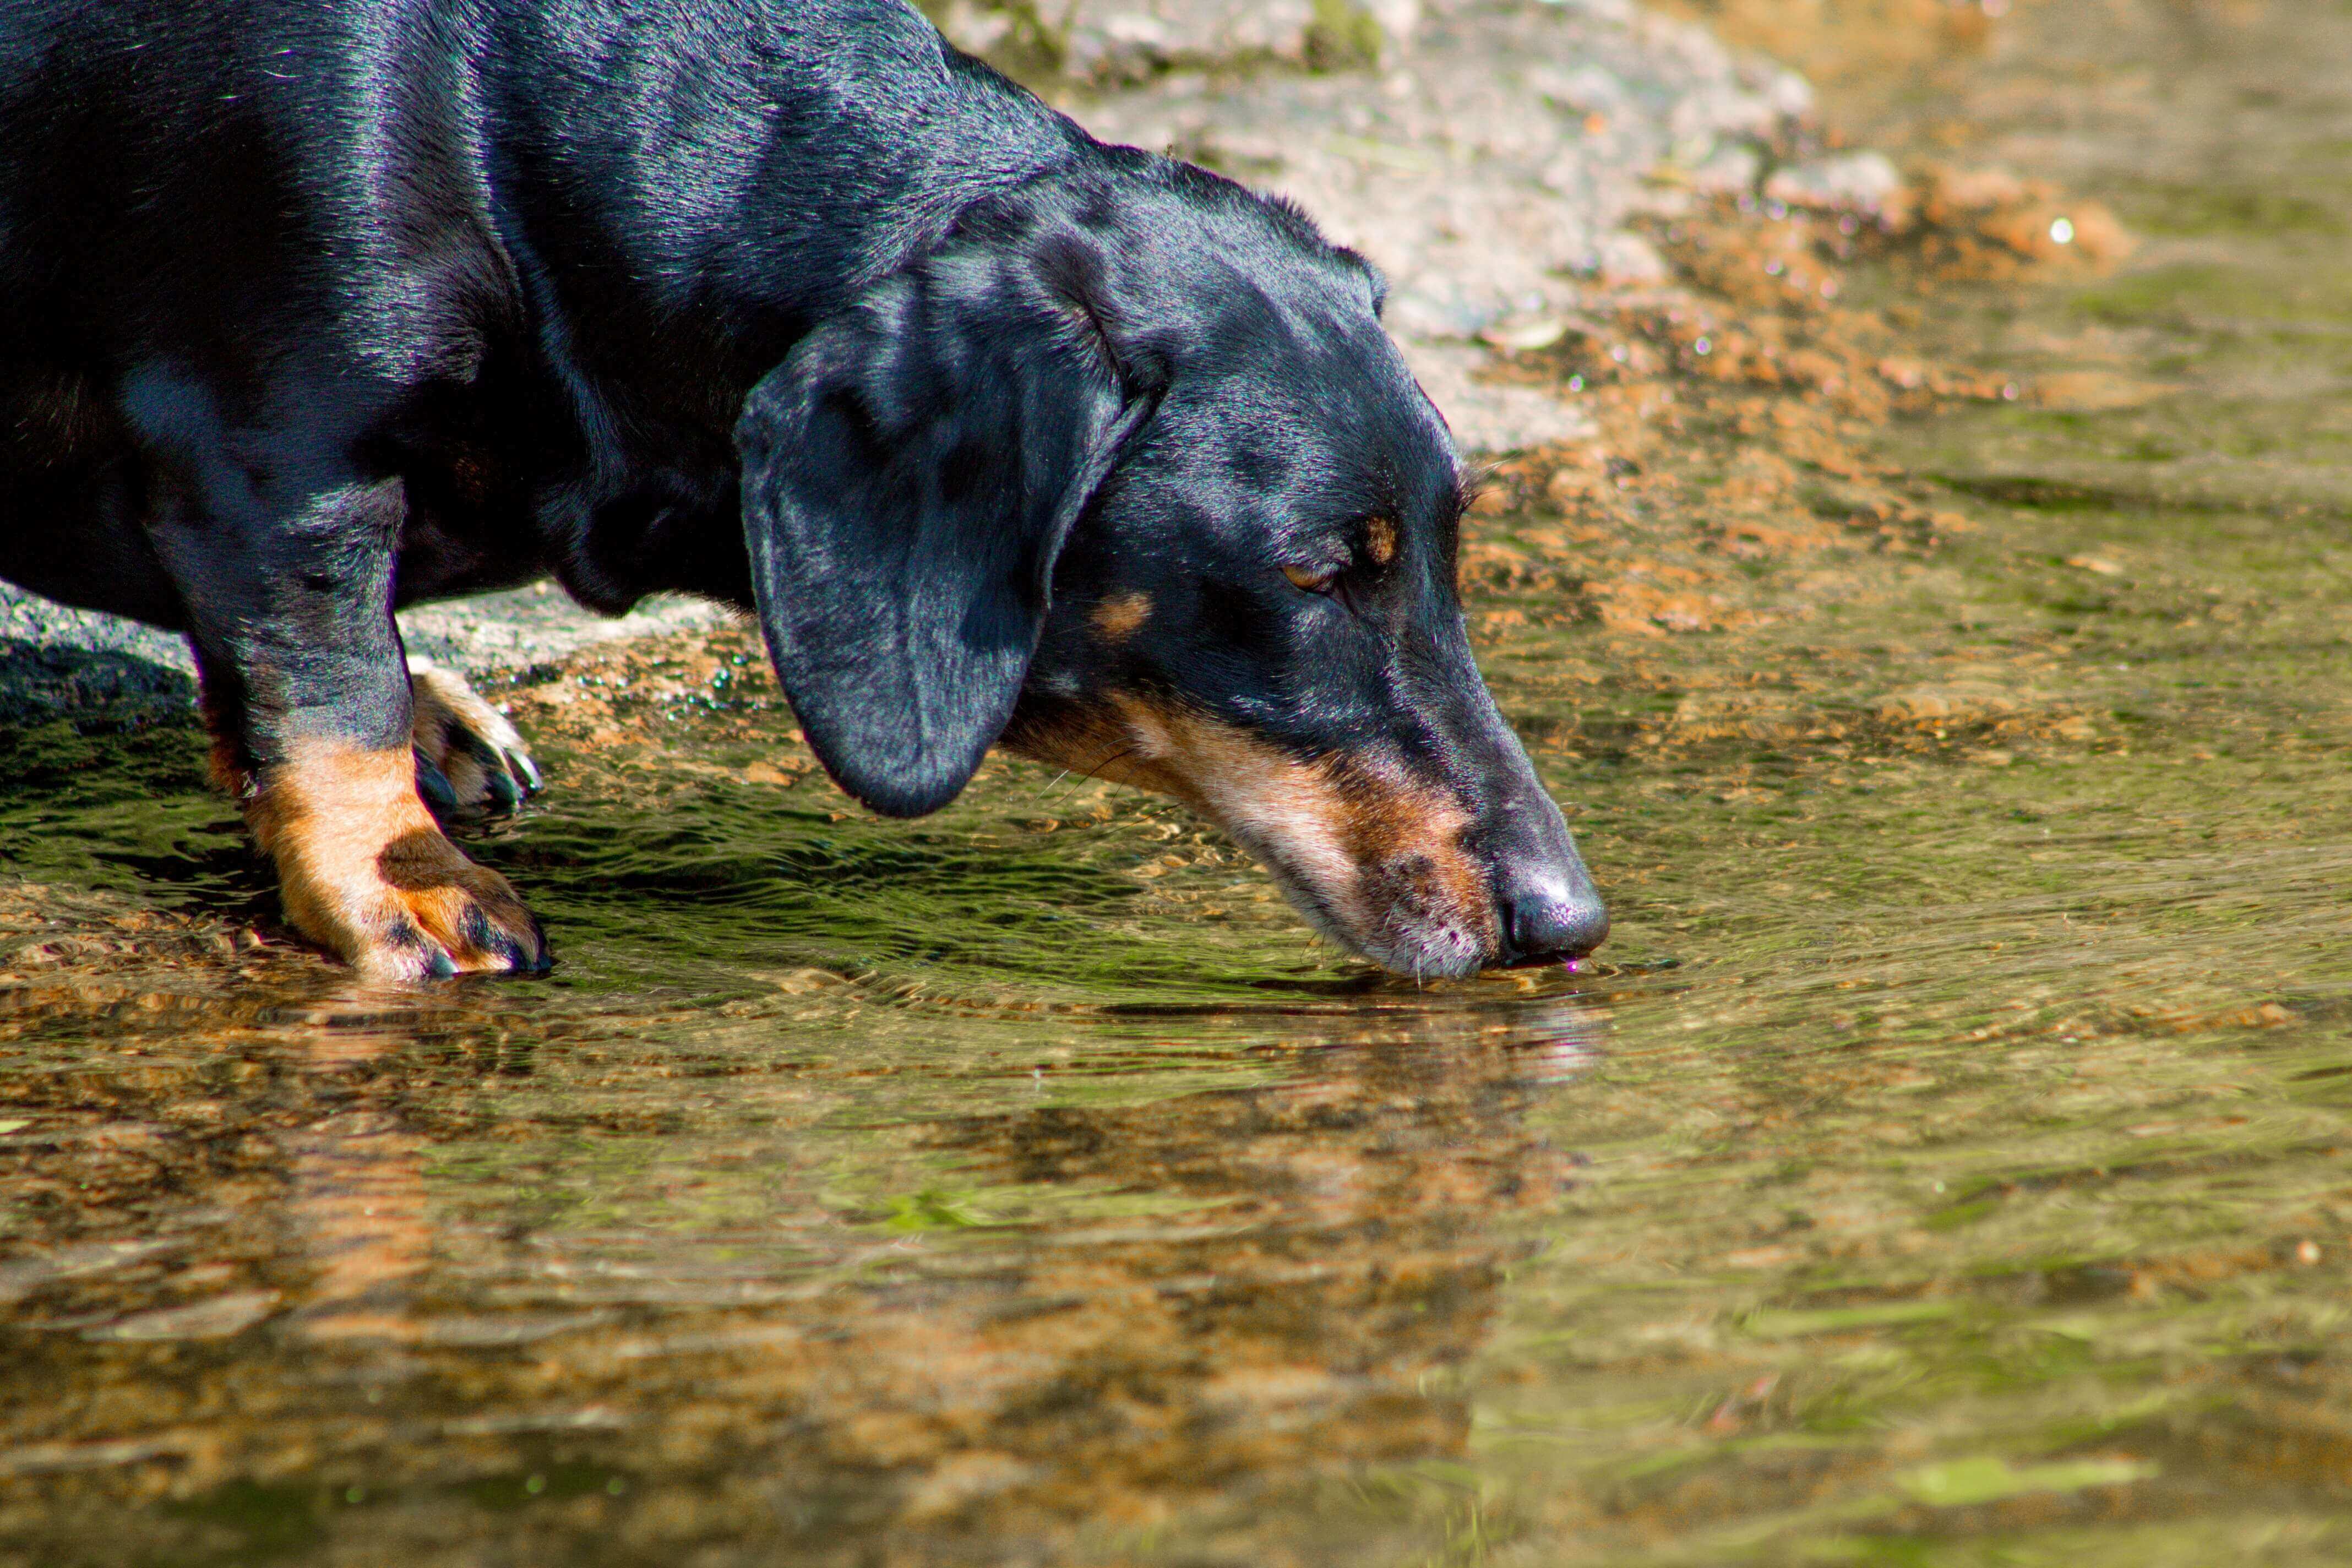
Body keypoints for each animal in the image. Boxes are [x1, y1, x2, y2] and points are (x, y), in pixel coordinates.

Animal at [0, 0, 1609, 982]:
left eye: (1446, 555)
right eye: (1316, 575)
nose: (1569, 919)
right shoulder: (278, 456)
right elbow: (326, 683)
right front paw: (397, 877)